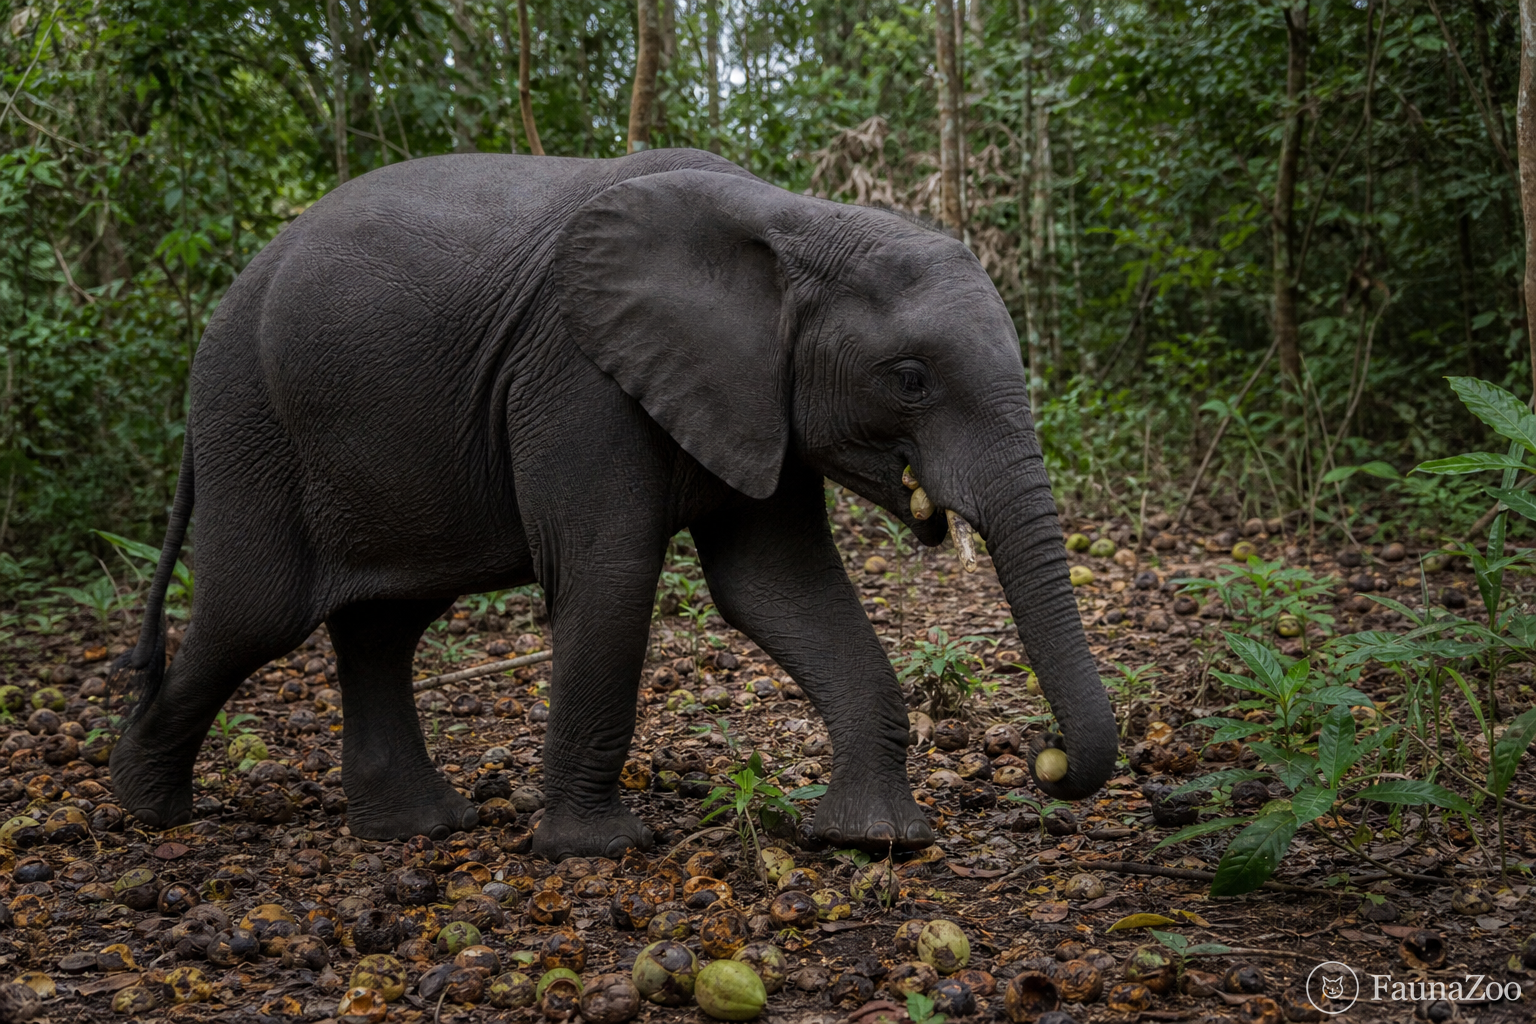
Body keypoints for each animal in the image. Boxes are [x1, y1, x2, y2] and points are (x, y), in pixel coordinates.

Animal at [109, 146, 1118, 859]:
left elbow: (778, 586)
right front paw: (598, 852)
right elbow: (613, 572)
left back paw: (421, 830)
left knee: (384, 623)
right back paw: (147, 811)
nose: (1045, 759)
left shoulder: (751, 396)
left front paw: (873, 842)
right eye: (910, 379)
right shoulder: (577, 377)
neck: (793, 219)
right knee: (257, 614)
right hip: (252, 426)